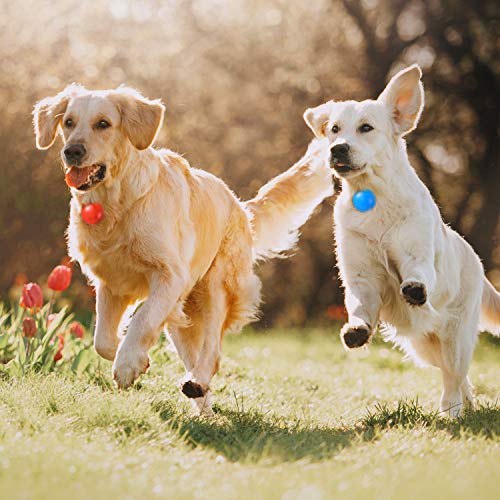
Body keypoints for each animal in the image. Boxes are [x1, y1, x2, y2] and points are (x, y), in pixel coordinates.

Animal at [34, 85, 332, 414]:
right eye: (69, 122)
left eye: (103, 124)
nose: (72, 151)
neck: (118, 202)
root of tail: (240, 206)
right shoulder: (112, 284)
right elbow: (103, 340)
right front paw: (136, 360)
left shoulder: (170, 276)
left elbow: (142, 318)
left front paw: (127, 365)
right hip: (182, 316)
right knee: (194, 356)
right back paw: (202, 404)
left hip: (216, 287)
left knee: (212, 352)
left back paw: (197, 382)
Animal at [302, 65, 498, 418]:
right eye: (334, 129)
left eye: (366, 127)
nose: (337, 148)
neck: (373, 198)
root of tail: (476, 260)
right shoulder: (361, 275)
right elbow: (359, 304)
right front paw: (357, 330)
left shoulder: (416, 254)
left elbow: (416, 273)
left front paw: (414, 288)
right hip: (424, 346)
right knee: (457, 376)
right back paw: (469, 404)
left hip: (455, 337)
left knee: (453, 377)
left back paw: (452, 412)